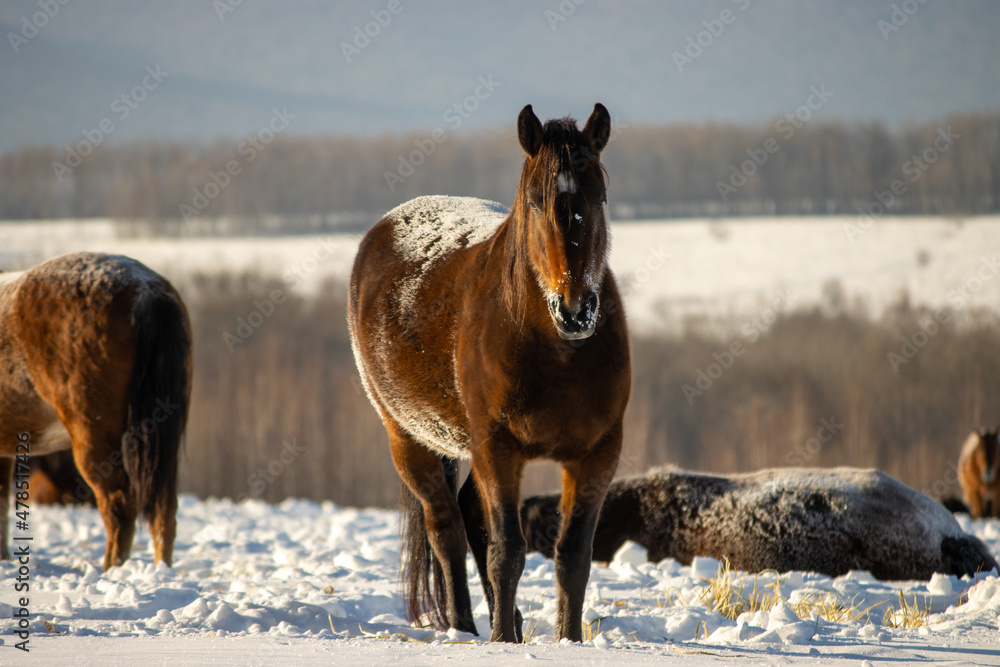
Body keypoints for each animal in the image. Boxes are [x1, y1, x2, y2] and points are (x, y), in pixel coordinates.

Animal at [348, 103, 630, 642]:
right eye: (535, 202)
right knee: (447, 530)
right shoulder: (497, 448)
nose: (575, 310)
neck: (556, 353)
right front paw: (501, 641)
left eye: (601, 197)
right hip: (408, 439)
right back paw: (466, 627)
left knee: (470, 518)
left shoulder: (597, 454)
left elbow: (572, 556)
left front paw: (569, 640)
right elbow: (508, 551)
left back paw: (511, 621)